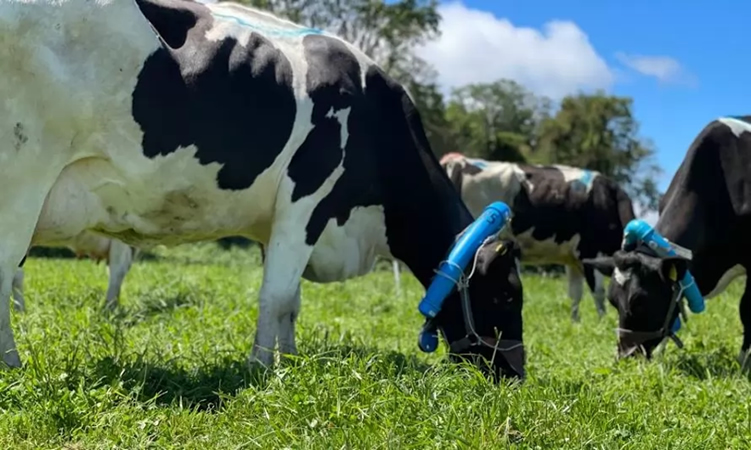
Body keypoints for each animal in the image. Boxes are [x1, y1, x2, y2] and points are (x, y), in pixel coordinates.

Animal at [0, 0, 528, 380]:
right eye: (507, 296)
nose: (516, 374)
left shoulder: (278, 223)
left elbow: (290, 299)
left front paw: (289, 359)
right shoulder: (306, 201)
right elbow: (274, 296)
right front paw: (260, 370)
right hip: (23, 179)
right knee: (5, 272)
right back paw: (13, 369)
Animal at [440, 153, 636, 322]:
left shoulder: (573, 258)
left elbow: (575, 293)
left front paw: (575, 322)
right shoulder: (589, 251)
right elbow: (598, 292)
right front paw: (602, 321)